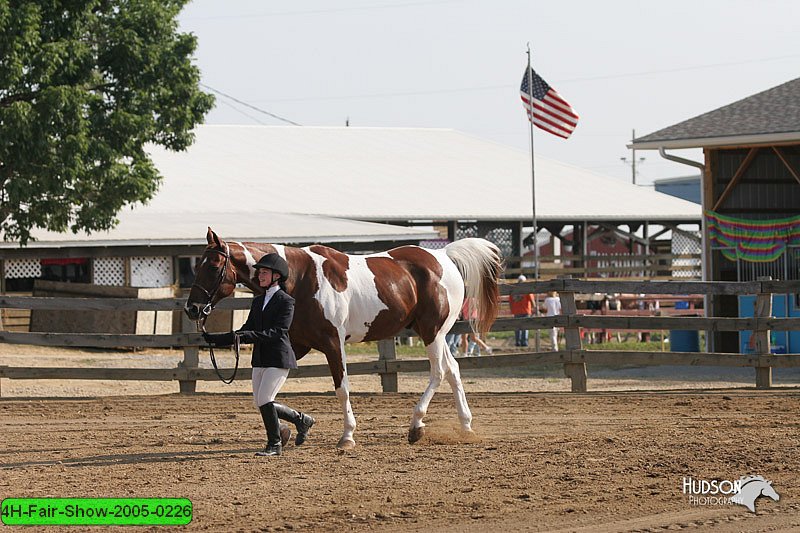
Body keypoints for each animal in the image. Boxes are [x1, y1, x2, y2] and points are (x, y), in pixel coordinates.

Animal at [184, 227, 504, 446]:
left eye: (212, 265)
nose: (192, 308)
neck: (300, 278)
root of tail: (442, 257)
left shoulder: (332, 343)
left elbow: (342, 388)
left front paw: (347, 435)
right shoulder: (296, 344)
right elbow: (269, 395)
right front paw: (291, 429)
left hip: (432, 332)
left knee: (438, 372)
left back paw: (416, 426)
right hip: (436, 333)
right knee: (453, 370)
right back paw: (465, 426)